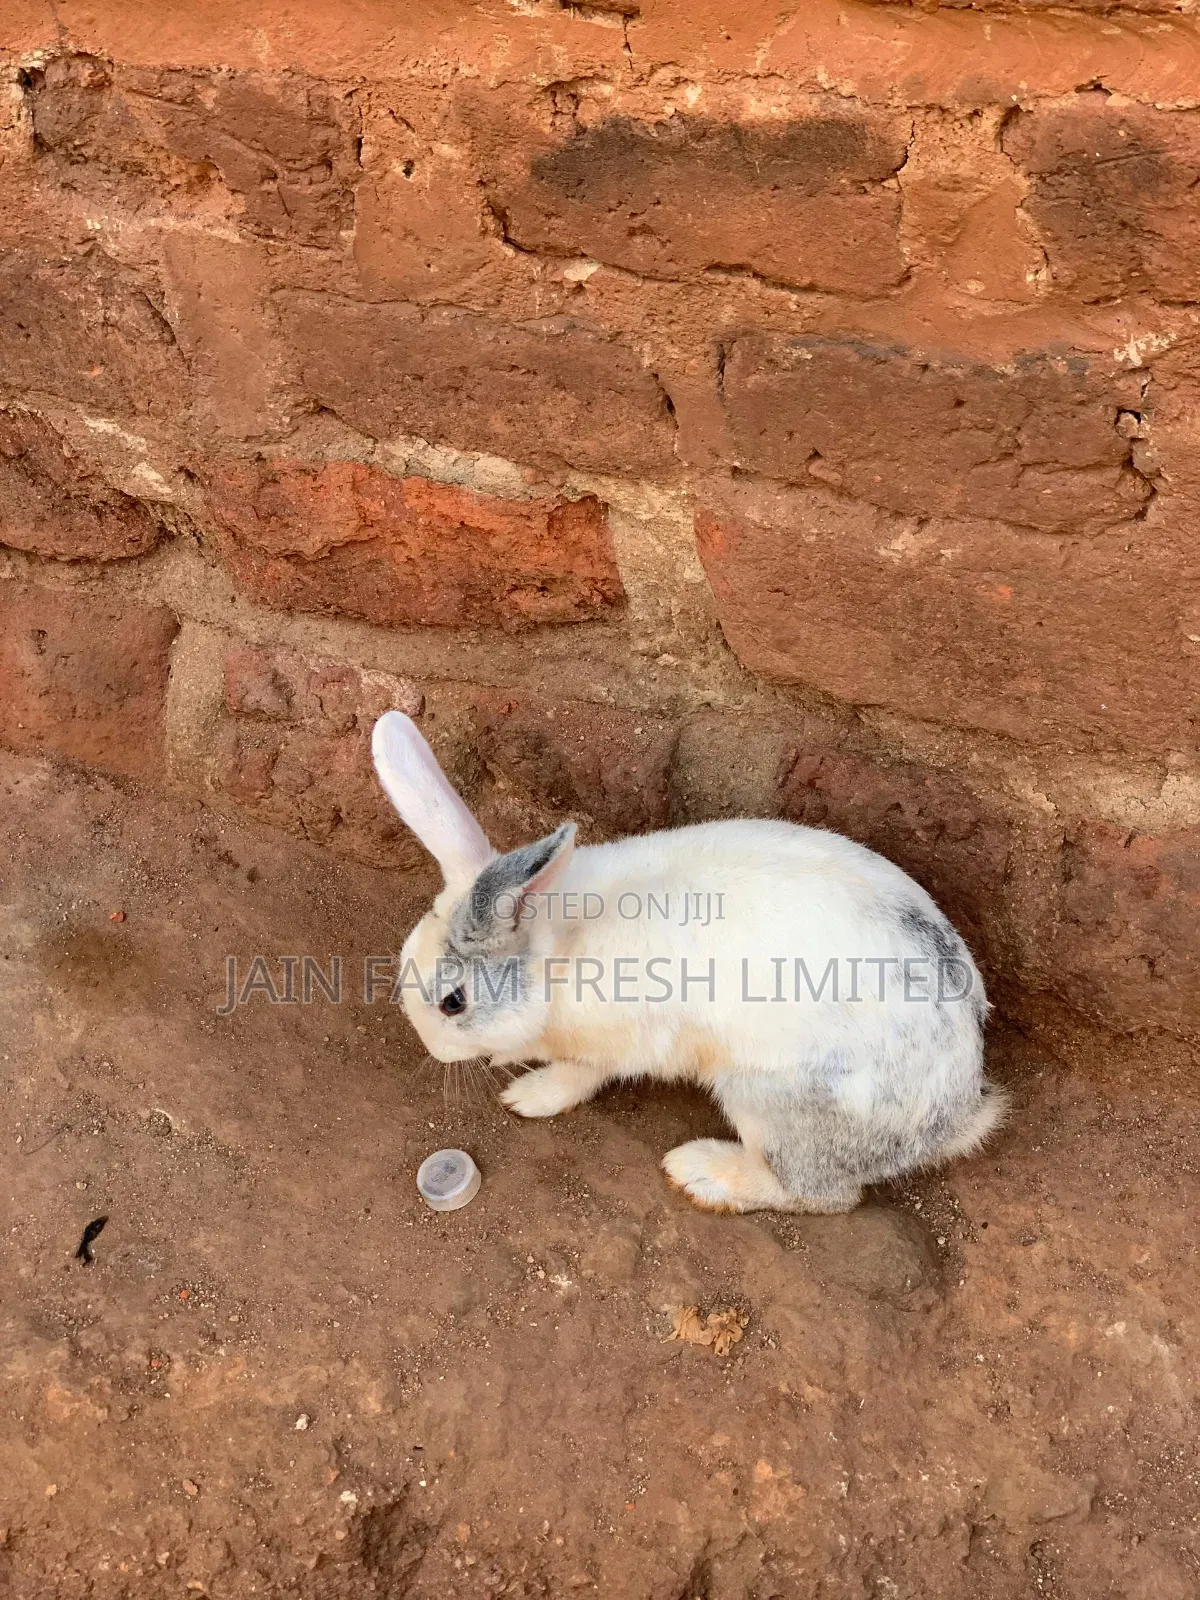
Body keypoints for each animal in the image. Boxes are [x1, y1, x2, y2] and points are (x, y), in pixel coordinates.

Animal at [372, 710, 1006, 1214]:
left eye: (453, 1003)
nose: (432, 1050)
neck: (558, 952)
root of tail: (955, 1117)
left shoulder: (619, 1043)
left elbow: (580, 1074)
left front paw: (528, 1097)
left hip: (770, 1102)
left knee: (824, 1194)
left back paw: (700, 1173)